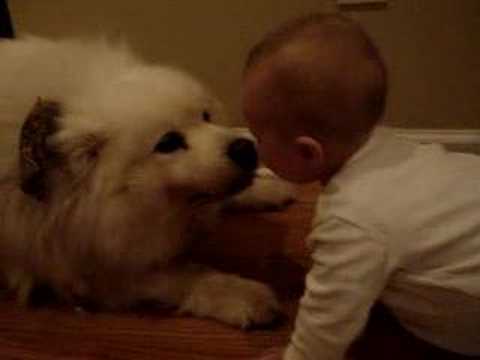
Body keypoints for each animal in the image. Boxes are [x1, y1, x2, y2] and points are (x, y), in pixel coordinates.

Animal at [0, 38, 292, 328]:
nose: (246, 149)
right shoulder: (92, 269)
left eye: (206, 116)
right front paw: (241, 294)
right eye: (168, 143)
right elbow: (185, 276)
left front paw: (268, 188)